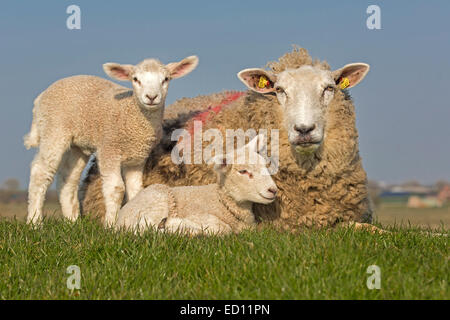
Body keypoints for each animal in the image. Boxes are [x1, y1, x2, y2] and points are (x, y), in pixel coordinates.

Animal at [24, 55, 199, 225]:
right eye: (135, 79)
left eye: (166, 79)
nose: (151, 97)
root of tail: (40, 97)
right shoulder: (109, 149)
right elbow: (116, 189)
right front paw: (110, 225)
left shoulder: (137, 158)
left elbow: (136, 190)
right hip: (54, 130)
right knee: (40, 173)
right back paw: (35, 222)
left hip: (77, 146)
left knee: (67, 180)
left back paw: (72, 222)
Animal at [115, 134, 278, 236]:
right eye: (243, 171)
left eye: (265, 165)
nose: (273, 190)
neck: (222, 201)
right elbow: (223, 228)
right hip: (157, 202)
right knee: (145, 229)